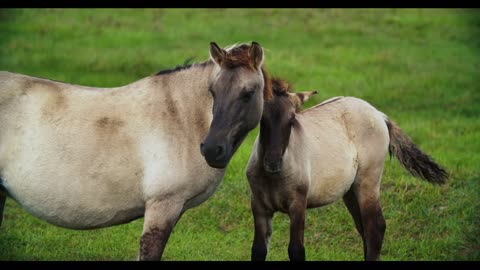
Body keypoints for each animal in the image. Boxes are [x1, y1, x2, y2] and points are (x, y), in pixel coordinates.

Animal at [246, 79, 448, 260]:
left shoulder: (298, 204)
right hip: (350, 191)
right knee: (363, 228)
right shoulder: (259, 206)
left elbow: (296, 250)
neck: (274, 177)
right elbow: (258, 250)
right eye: (262, 120)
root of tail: (379, 114)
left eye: (292, 119)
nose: (273, 163)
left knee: (375, 227)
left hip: (368, 182)